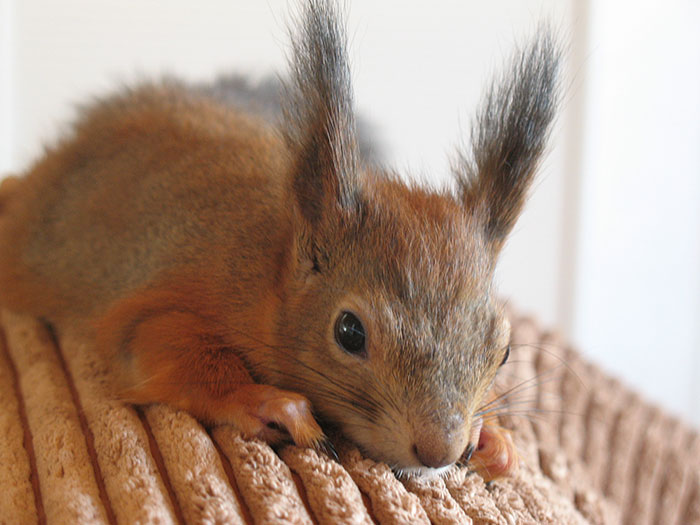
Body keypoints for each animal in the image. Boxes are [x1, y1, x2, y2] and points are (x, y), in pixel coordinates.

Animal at [0, 0, 559, 480]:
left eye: (504, 352)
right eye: (349, 332)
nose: (439, 450)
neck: (271, 264)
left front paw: (496, 438)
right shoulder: (166, 297)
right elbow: (167, 346)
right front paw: (266, 402)